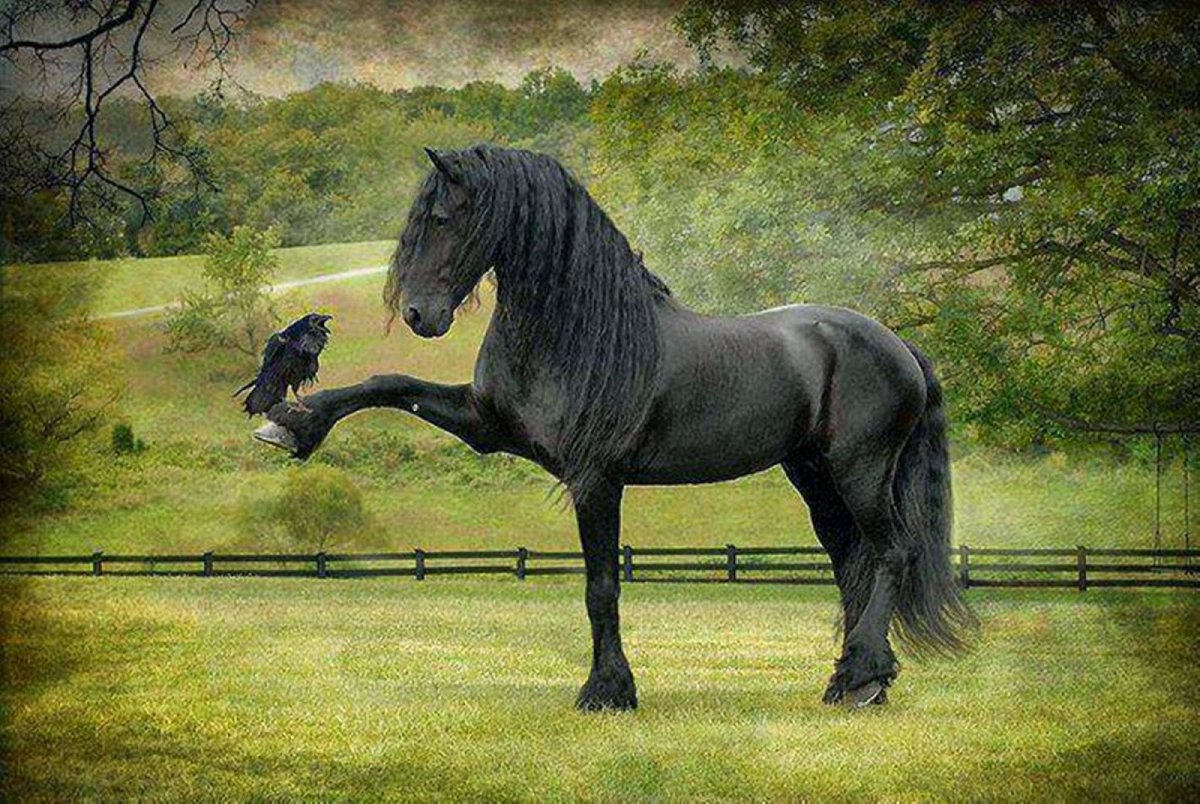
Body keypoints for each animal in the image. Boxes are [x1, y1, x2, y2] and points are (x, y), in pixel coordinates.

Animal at [254, 144, 977, 710]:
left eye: (441, 218)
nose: (418, 314)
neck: (577, 330)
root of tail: (897, 344)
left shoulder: (595, 479)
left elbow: (601, 587)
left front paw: (607, 690)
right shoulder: (487, 425)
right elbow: (388, 385)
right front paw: (294, 423)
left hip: (860, 470)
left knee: (889, 552)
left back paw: (863, 675)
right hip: (813, 475)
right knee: (851, 559)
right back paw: (855, 680)